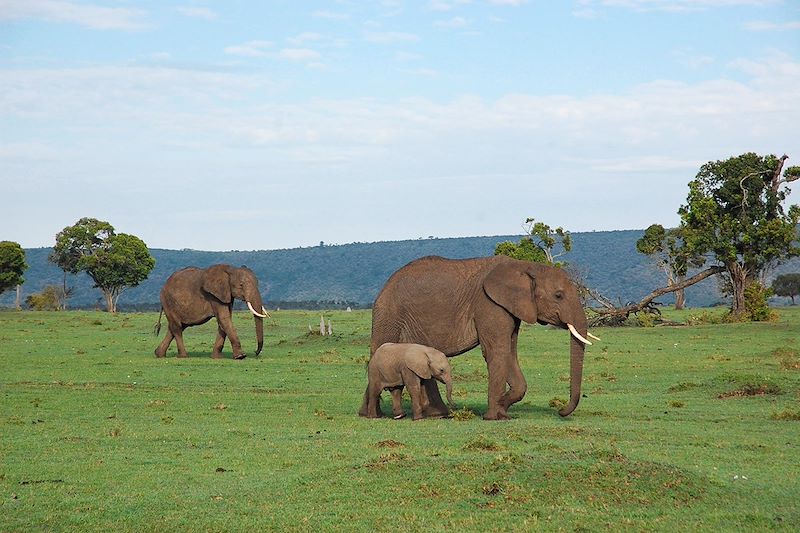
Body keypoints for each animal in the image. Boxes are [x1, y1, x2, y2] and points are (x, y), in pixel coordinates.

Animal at [366, 255, 596, 420]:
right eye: (558, 295)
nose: (560, 411)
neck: (524, 266)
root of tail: (384, 287)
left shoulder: (508, 308)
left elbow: (509, 352)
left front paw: (503, 409)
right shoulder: (488, 304)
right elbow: (496, 351)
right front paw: (494, 416)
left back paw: (435, 415)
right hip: (388, 315)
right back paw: (374, 415)